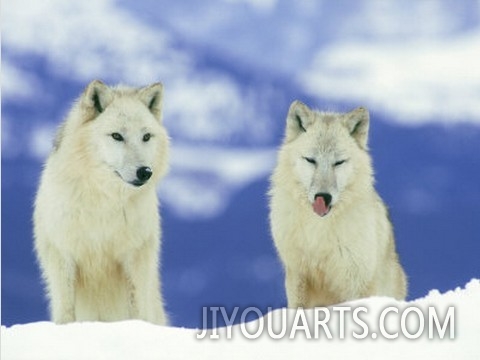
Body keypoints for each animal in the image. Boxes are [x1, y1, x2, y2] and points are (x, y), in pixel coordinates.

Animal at [33, 79, 170, 324]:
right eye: (116, 136)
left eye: (146, 137)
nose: (145, 172)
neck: (105, 201)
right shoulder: (62, 254)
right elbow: (66, 310)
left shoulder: (135, 255)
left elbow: (137, 306)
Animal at [268, 100, 406, 306]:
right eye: (311, 160)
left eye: (339, 162)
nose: (323, 196)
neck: (319, 229)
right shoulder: (297, 273)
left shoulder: (356, 279)